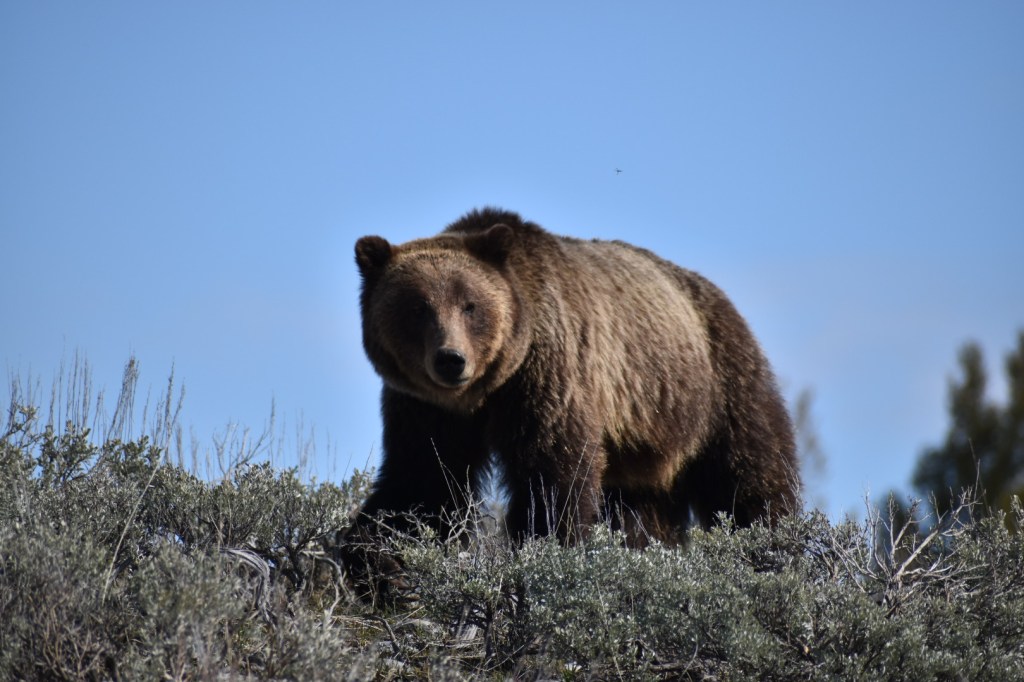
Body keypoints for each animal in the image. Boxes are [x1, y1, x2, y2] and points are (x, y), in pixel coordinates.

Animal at [348, 207, 799, 561]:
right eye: (418, 308)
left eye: (470, 305)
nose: (451, 359)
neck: (482, 396)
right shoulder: (424, 408)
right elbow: (421, 482)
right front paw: (374, 559)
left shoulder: (548, 374)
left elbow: (552, 473)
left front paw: (544, 544)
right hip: (642, 447)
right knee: (643, 517)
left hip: (714, 382)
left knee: (749, 475)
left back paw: (774, 545)